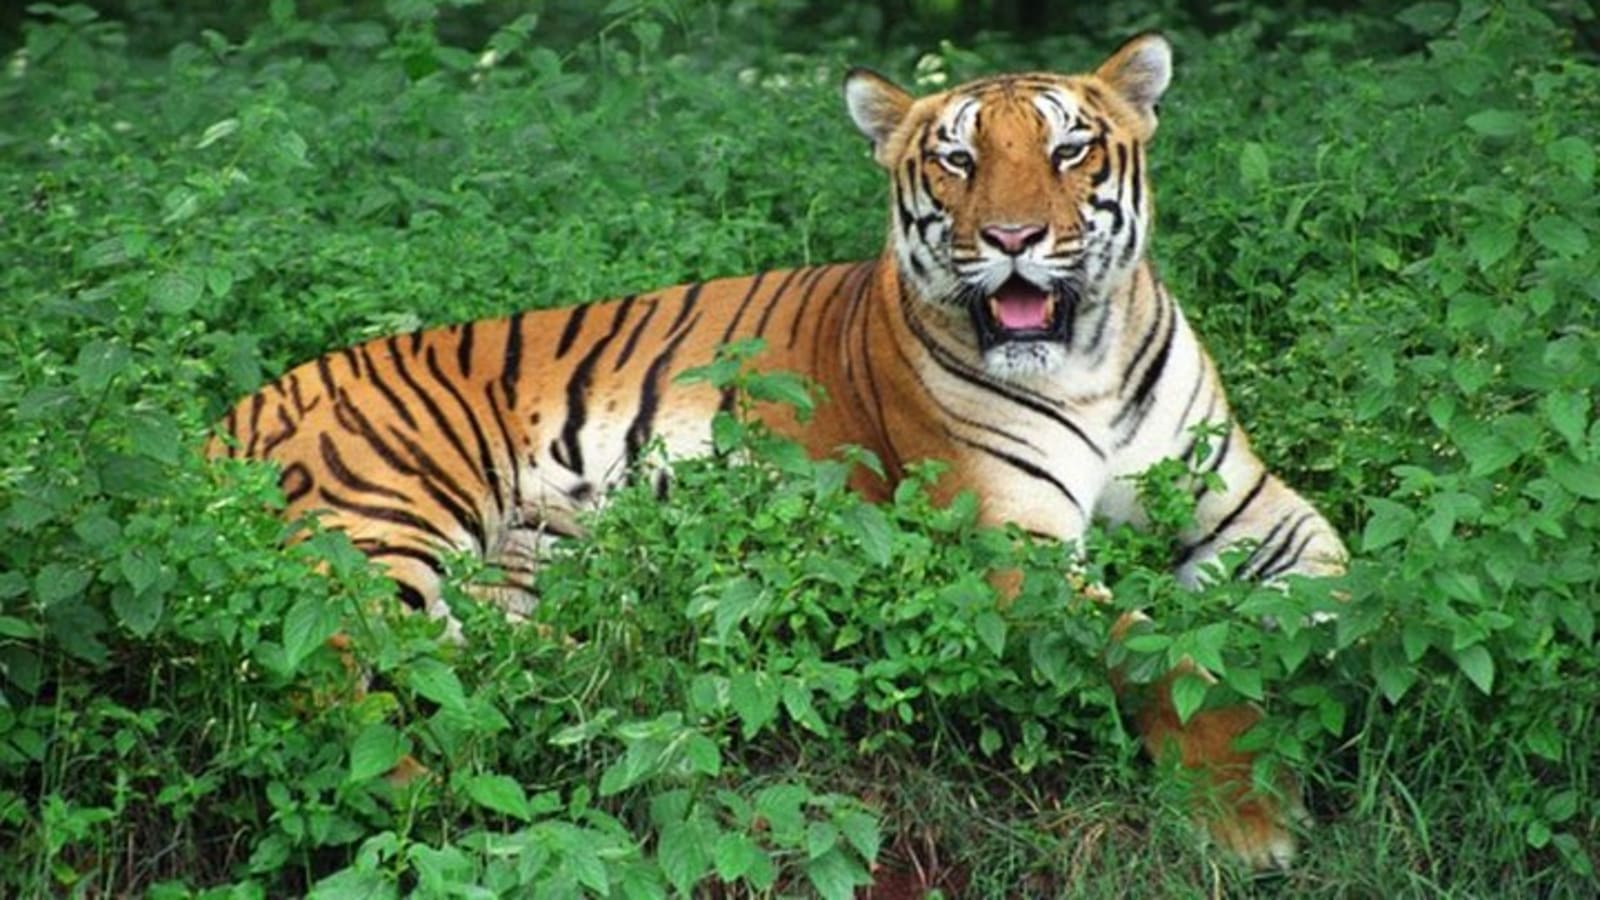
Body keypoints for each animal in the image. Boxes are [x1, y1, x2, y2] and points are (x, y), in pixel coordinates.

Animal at [212, 33, 1346, 868]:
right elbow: (1166, 652)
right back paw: (419, 788)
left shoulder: (1254, 510)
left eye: (1069, 152)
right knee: (330, 678)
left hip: (525, 564)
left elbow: (1339, 595)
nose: (1015, 239)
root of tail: (238, 407)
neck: (1086, 361)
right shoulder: (1008, 549)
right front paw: (1248, 821)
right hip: (383, 523)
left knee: (499, 662)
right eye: (959, 159)